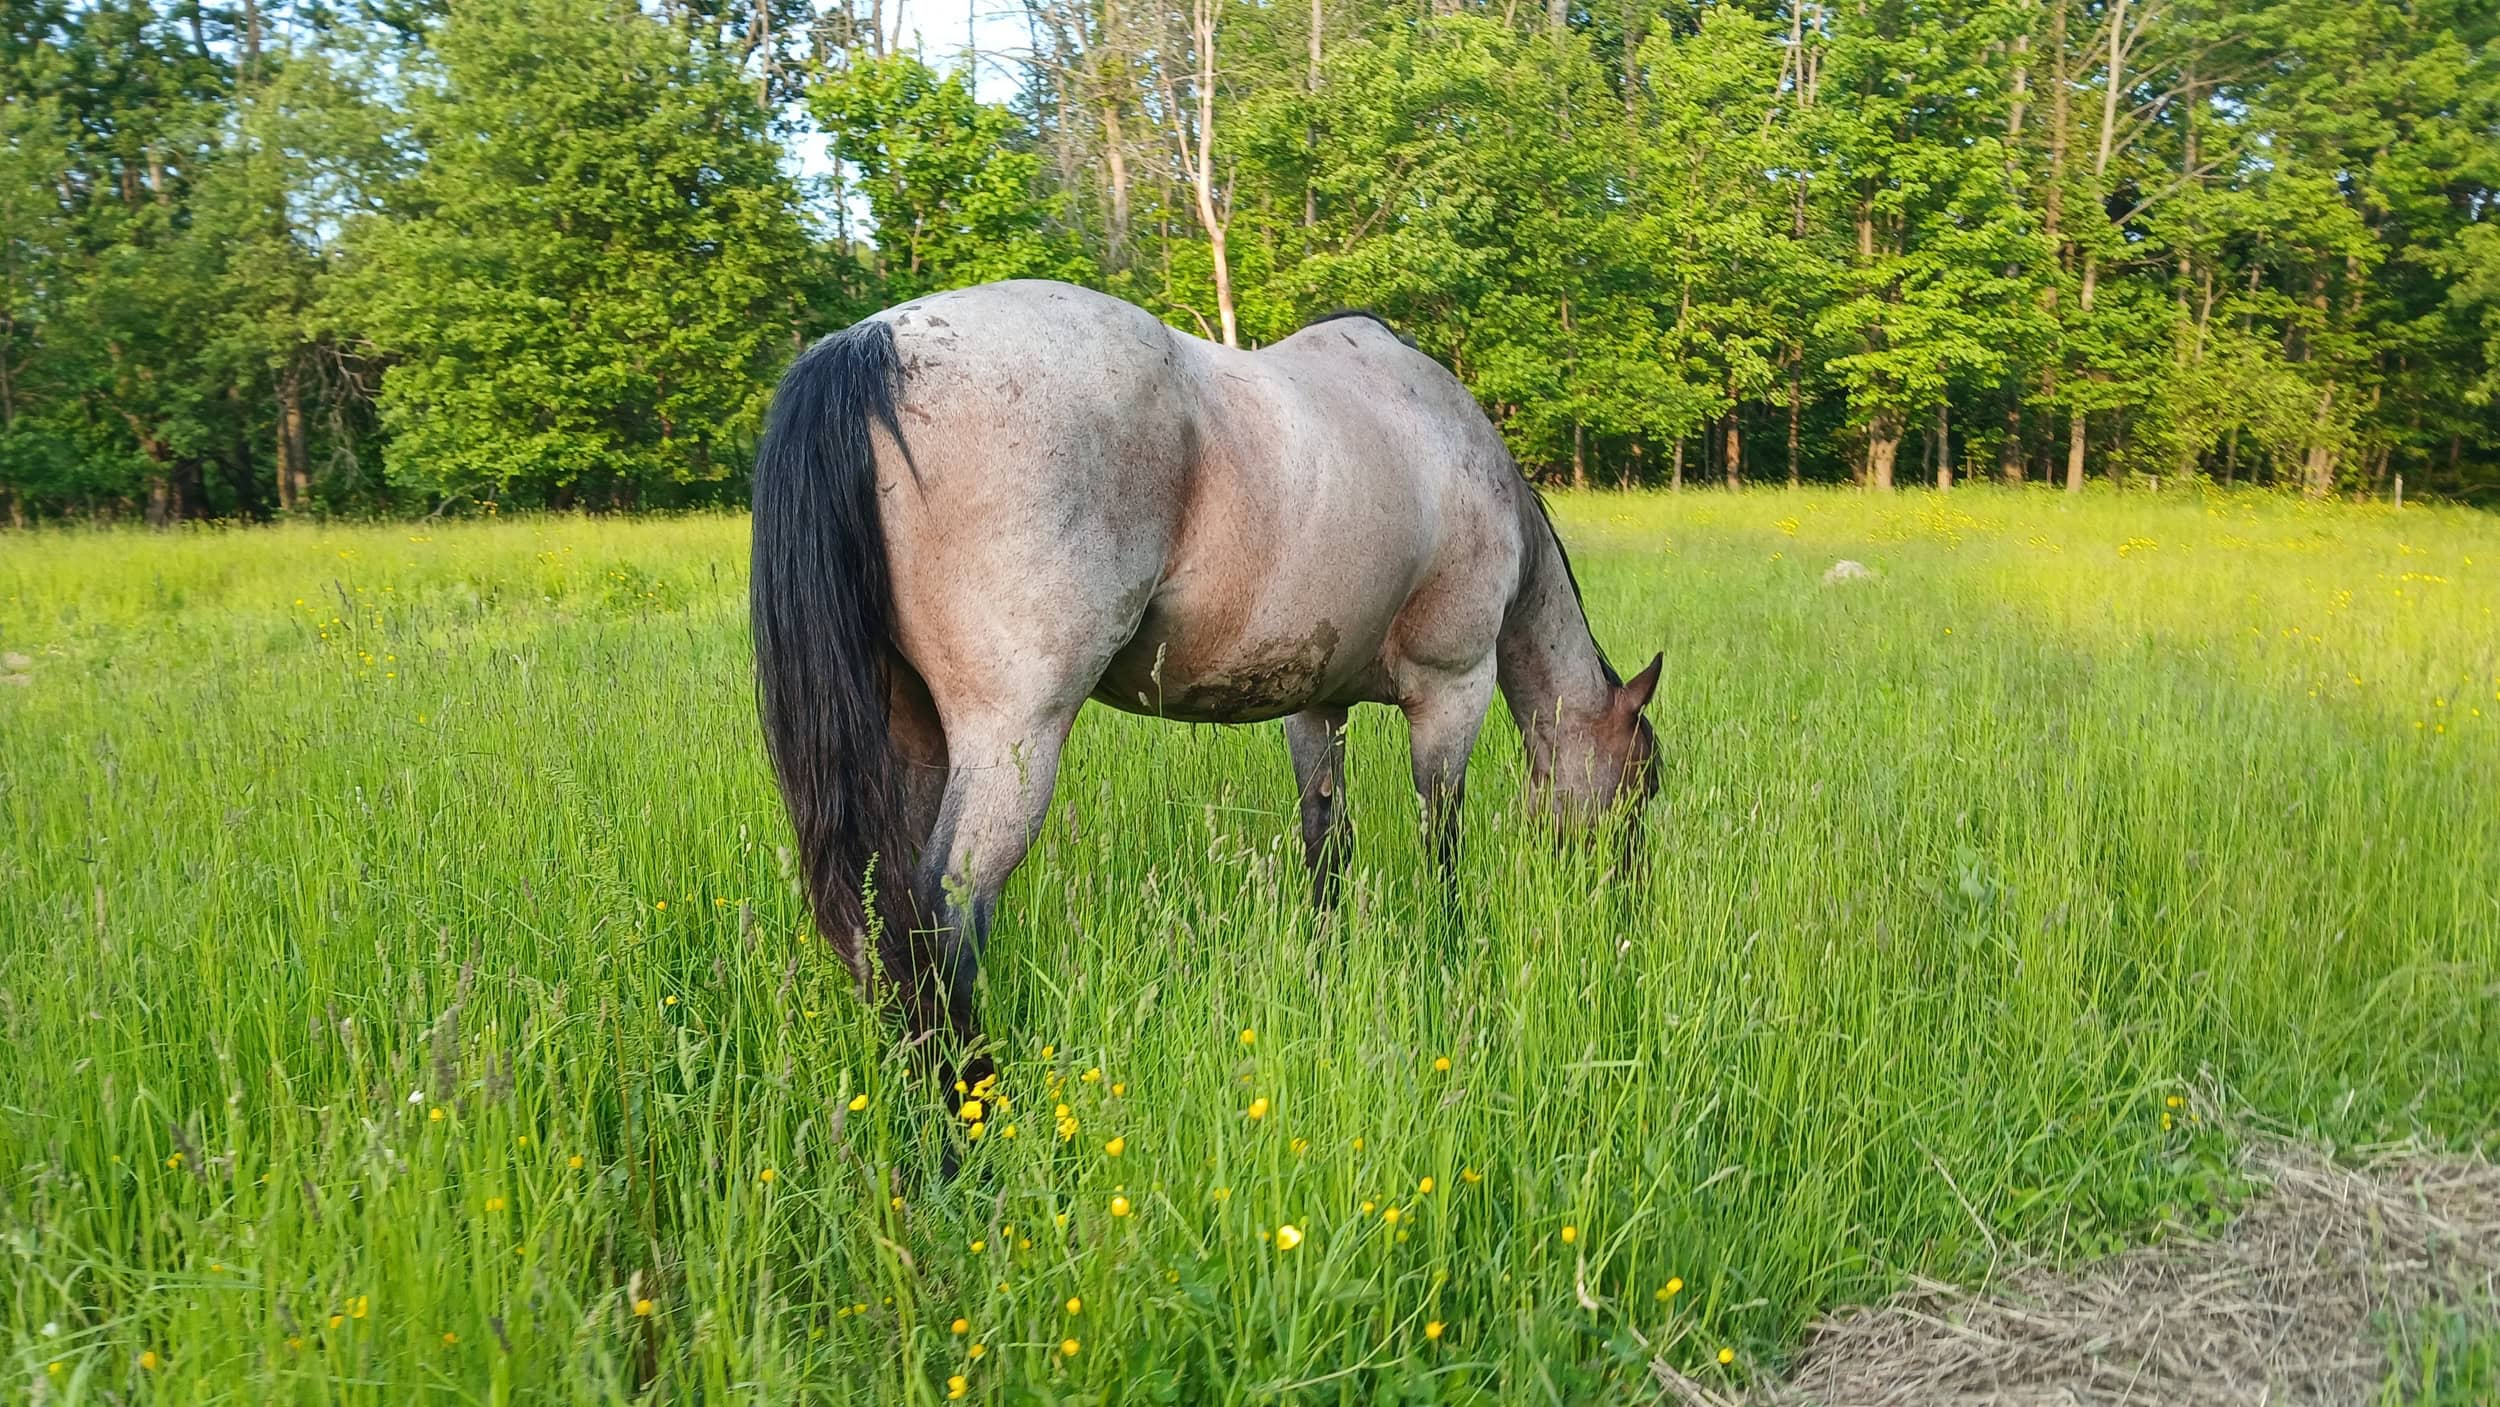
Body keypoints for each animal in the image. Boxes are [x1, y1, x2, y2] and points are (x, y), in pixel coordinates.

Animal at [750, 279, 1661, 1092]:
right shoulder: (1453, 689)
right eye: (1643, 785)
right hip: (1012, 739)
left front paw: (1326, 966)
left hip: (909, 733)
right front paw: (1449, 956)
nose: (1628, 909)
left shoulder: (1316, 704)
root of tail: (867, 348)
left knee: (887, 921)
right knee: (945, 914)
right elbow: (1441, 843)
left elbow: (1327, 845)